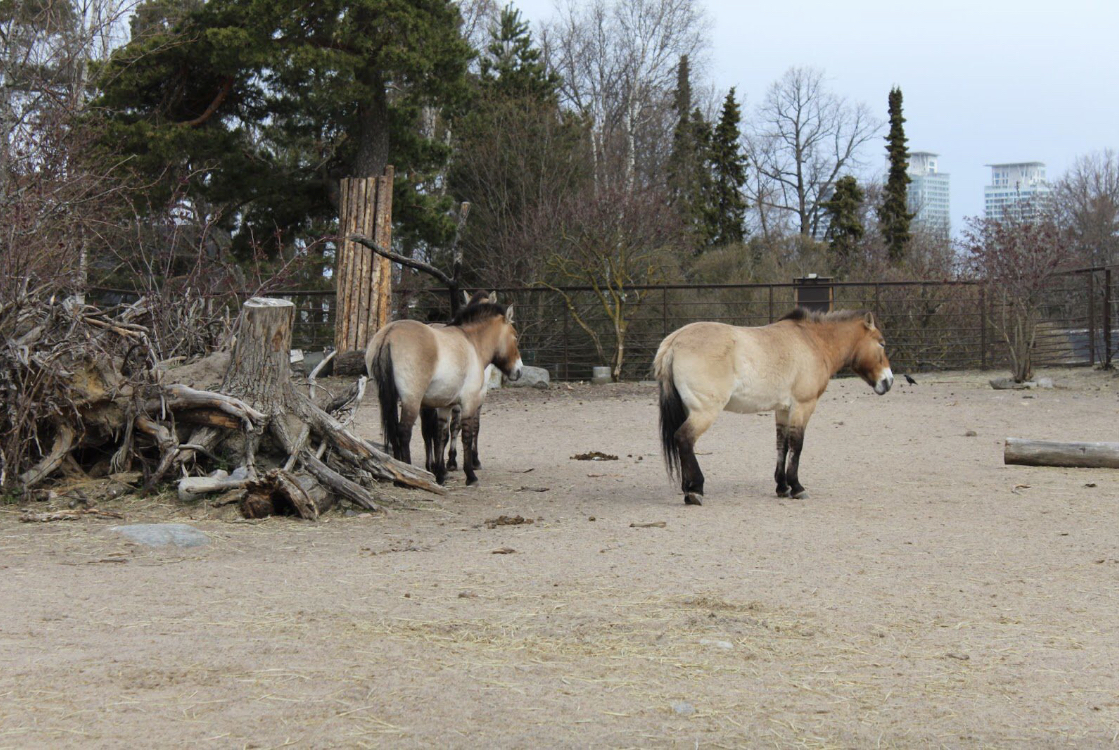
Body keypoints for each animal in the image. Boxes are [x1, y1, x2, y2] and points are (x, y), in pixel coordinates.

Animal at [367, 299, 522, 485]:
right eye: (515, 336)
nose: (519, 371)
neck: (472, 343)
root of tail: (389, 334)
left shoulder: (445, 406)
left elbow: (441, 436)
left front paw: (440, 474)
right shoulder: (470, 402)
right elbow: (467, 435)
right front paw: (470, 475)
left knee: (395, 431)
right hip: (412, 401)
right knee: (403, 432)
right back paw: (408, 474)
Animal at [654, 308, 893, 505]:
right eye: (881, 343)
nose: (888, 381)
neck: (812, 342)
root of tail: (673, 342)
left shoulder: (783, 409)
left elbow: (782, 445)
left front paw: (782, 487)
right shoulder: (802, 406)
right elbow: (797, 445)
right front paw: (797, 487)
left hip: (690, 410)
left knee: (685, 444)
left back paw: (688, 489)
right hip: (705, 411)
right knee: (684, 438)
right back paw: (696, 490)